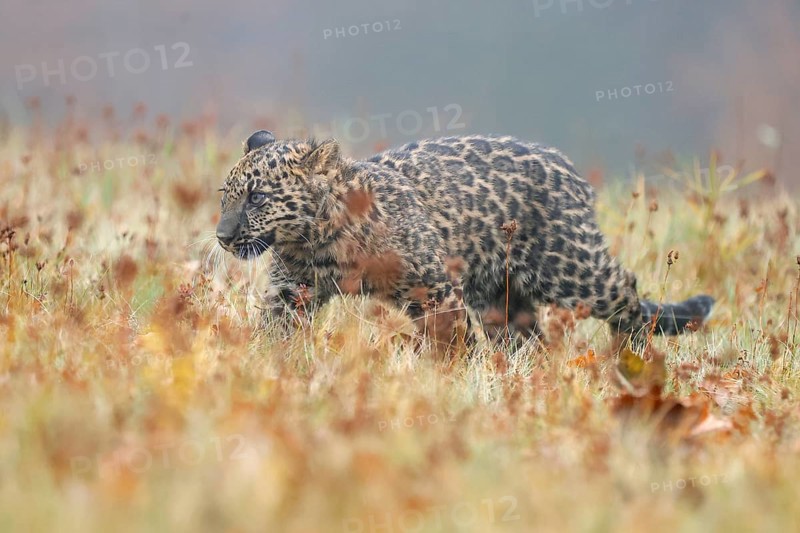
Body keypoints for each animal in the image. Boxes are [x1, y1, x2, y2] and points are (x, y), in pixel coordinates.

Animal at [215, 129, 714, 347]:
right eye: (227, 195)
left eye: (257, 198)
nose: (221, 236)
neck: (316, 242)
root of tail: (567, 167)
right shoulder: (292, 289)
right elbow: (275, 329)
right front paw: (268, 368)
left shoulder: (432, 286)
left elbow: (449, 336)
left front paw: (449, 375)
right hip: (498, 292)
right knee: (524, 335)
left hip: (569, 267)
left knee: (624, 290)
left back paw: (632, 354)